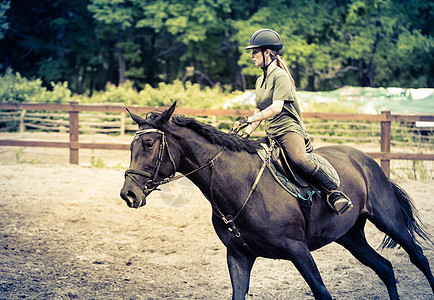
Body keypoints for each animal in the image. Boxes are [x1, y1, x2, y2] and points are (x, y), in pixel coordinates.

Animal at [119, 102, 434, 298]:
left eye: (149, 143)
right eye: (132, 145)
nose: (128, 194)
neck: (241, 185)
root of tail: (366, 160)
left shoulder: (298, 250)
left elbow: (323, 293)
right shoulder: (239, 256)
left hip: (389, 221)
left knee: (418, 257)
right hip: (350, 237)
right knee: (386, 269)